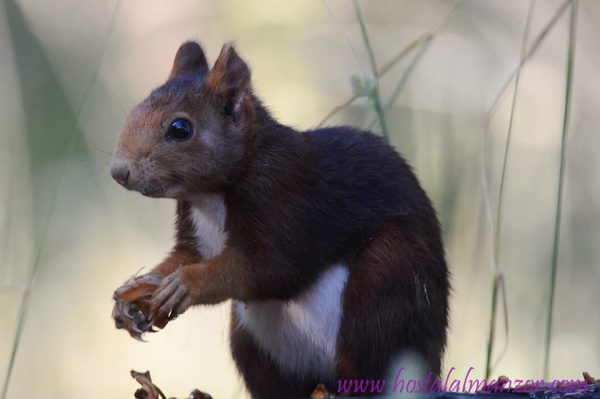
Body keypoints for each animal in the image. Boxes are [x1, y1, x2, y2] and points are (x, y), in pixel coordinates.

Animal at [111, 41, 450, 399]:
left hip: (386, 282)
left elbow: (271, 268)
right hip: (249, 342)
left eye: (180, 128)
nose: (119, 172)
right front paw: (134, 291)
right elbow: (183, 256)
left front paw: (185, 284)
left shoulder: (285, 199)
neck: (211, 195)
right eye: (136, 110)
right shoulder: (194, 229)